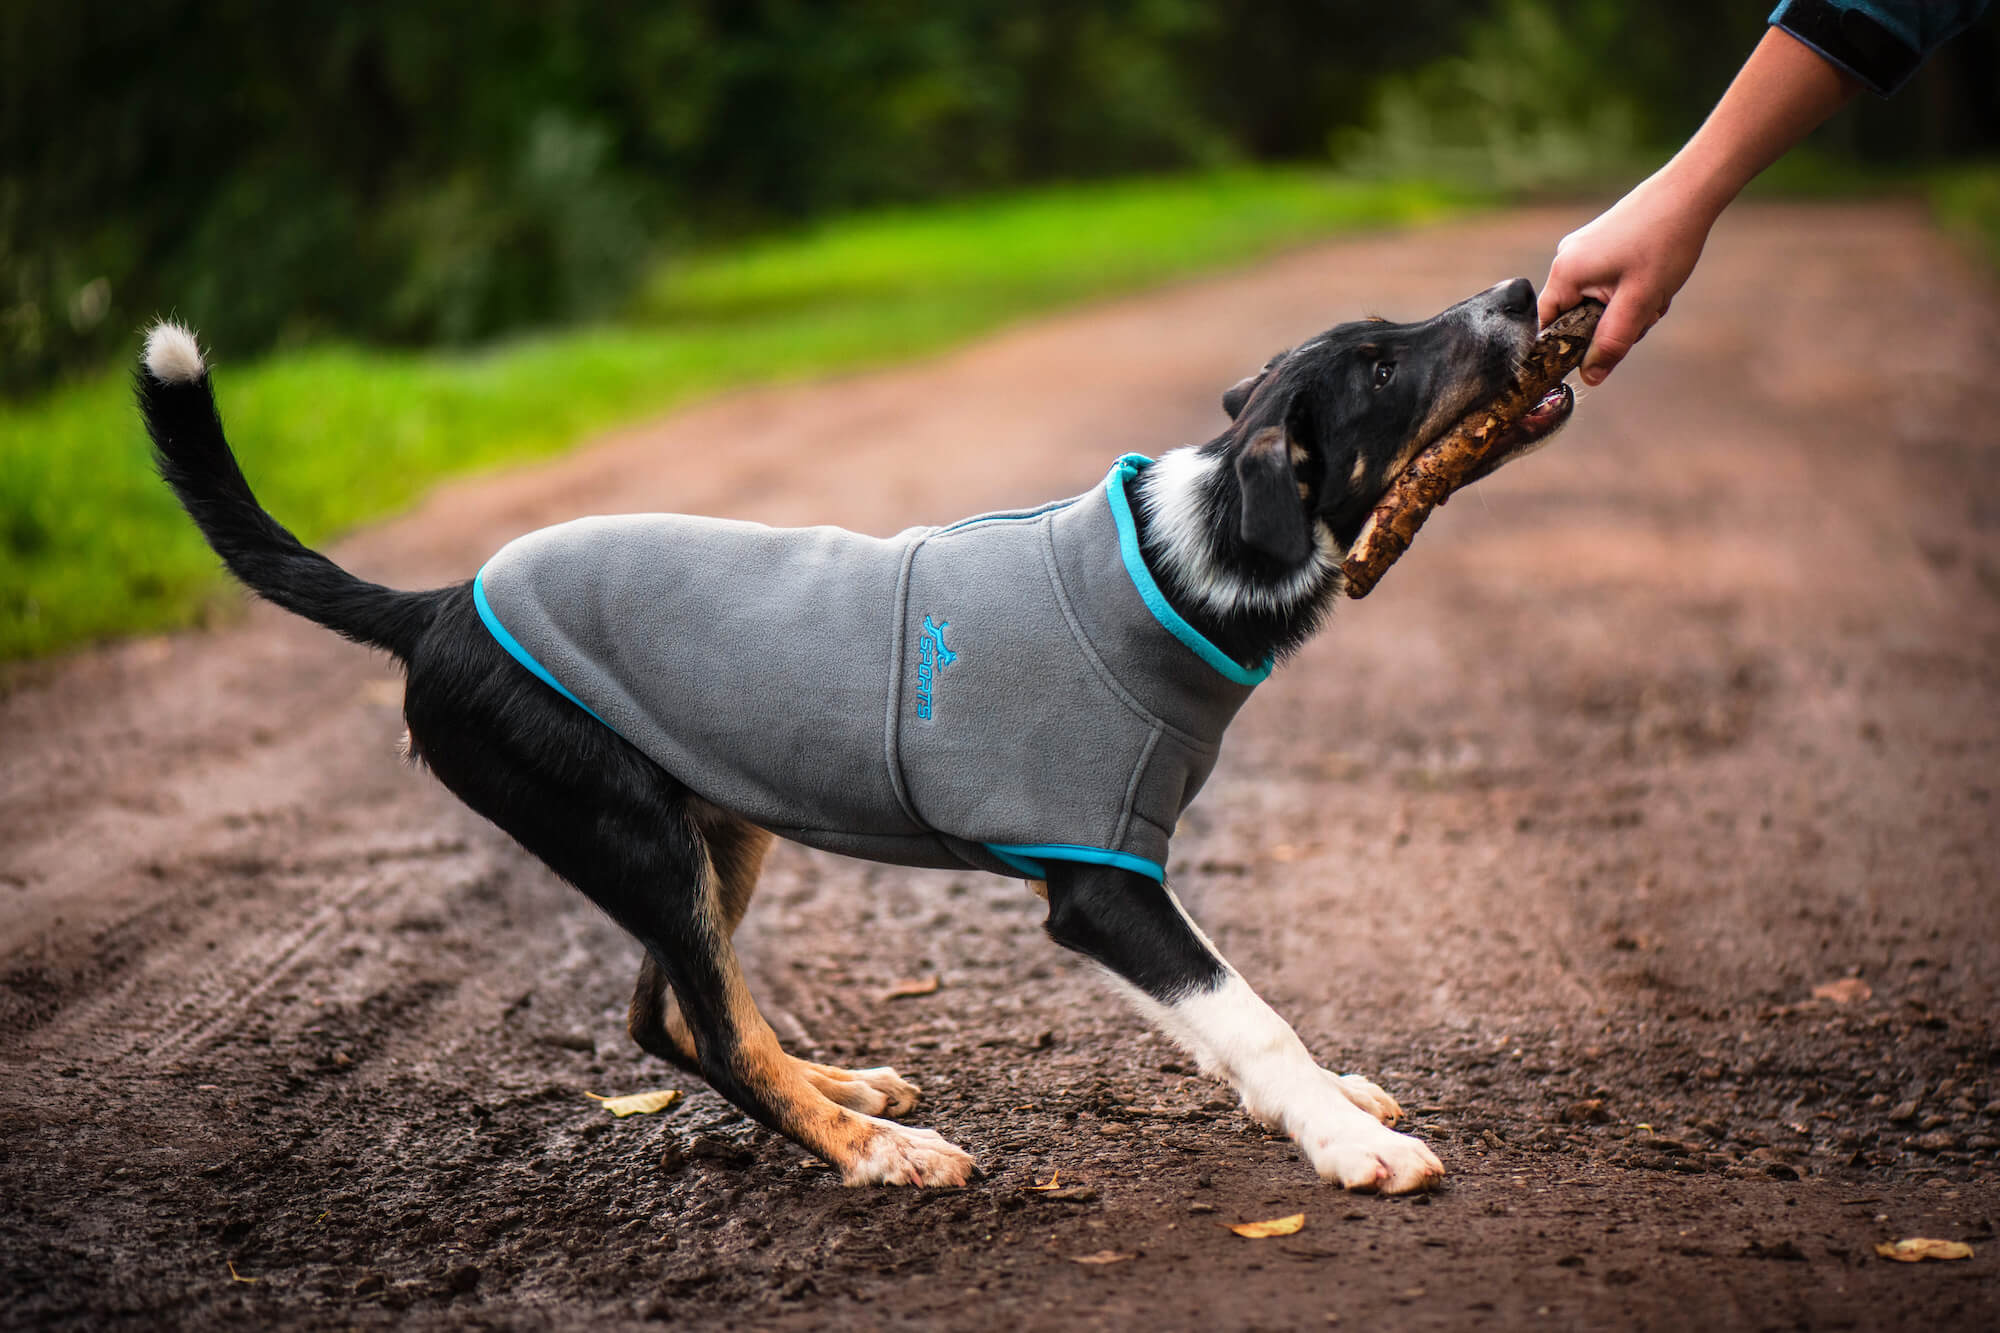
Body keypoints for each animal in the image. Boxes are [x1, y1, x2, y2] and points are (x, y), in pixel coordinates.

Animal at [137, 274, 1576, 1184]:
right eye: (1381, 366)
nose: (1522, 290)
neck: (1187, 558)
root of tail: (437, 607)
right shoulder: (1103, 886)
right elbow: (1243, 1009)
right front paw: (1346, 1141)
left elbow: (1235, 1011)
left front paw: (1336, 1098)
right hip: (630, 829)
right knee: (714, 1029)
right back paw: (872, 1151)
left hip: (712, 827)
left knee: (669, 1016)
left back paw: (847, 1091)